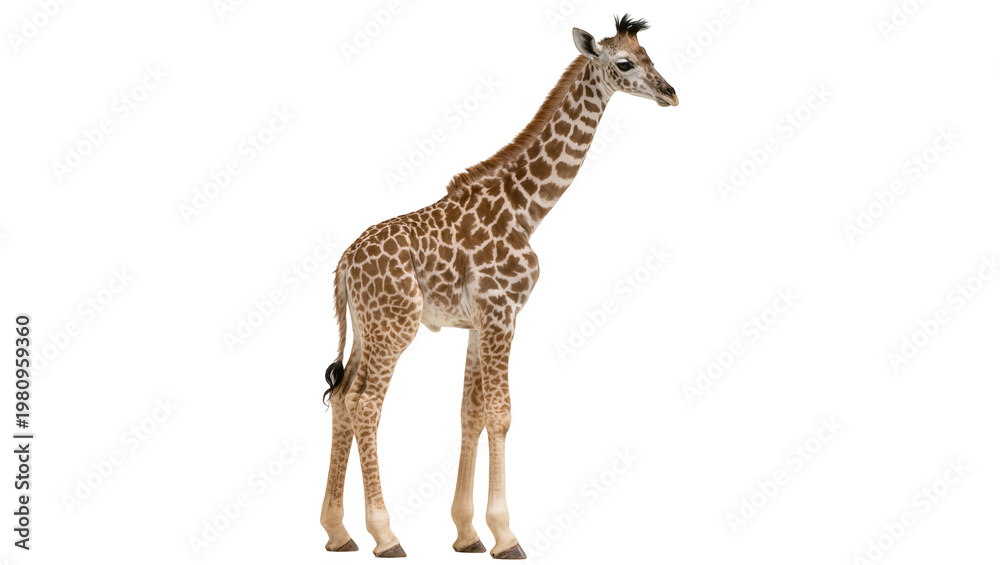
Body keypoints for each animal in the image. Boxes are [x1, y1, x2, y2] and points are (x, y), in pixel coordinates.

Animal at [319, 14, 677, 558]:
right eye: (623, 63)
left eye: (649, 55)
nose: (670, 92)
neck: (527, 209)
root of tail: (343, 264)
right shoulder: (502, 311)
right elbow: (501, 413)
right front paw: (506, 535)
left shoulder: (476, 322)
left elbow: (471, 413)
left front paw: (467, 534)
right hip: (395, 327)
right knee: (365, 404)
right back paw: (384, 535)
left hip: (366, 328)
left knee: (341, 399)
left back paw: (339, 533)